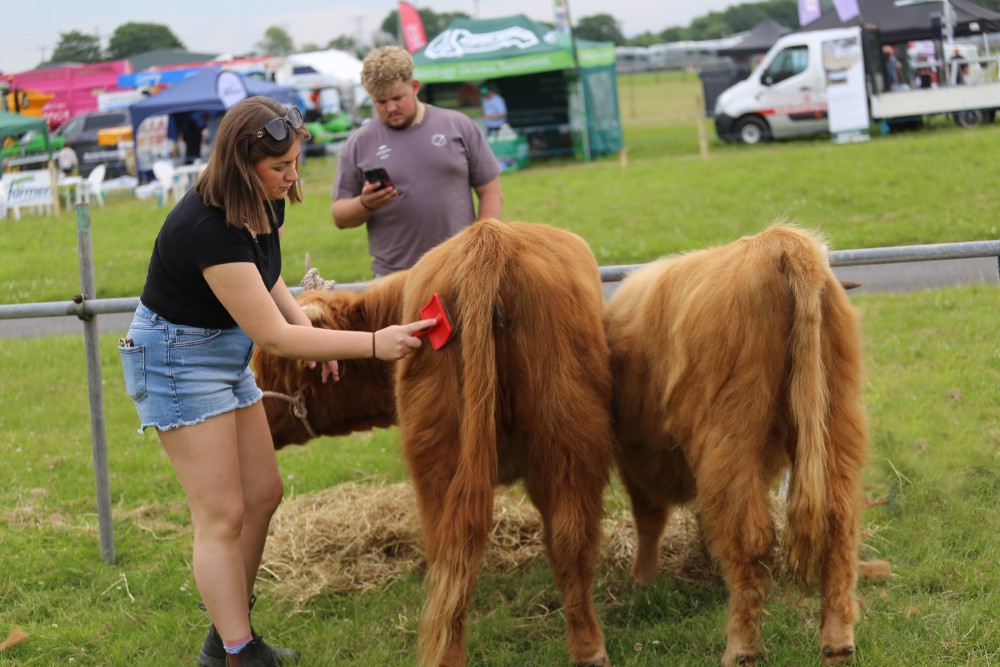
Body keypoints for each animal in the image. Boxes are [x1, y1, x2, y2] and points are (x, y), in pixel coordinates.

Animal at [253, 219, 615, 667]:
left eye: (274, 362)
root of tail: (488, 238)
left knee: (454, 546)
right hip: (564, 428)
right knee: (566, 534)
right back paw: (587, 648)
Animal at [603, 224, 869, 666]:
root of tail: (777, 242)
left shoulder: (640, 458)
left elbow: (649, 516)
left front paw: (641, 578)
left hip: (731, 435)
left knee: (748, 536)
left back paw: (742, 649)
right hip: (837, 417)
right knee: (838, 522)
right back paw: (837, 643)